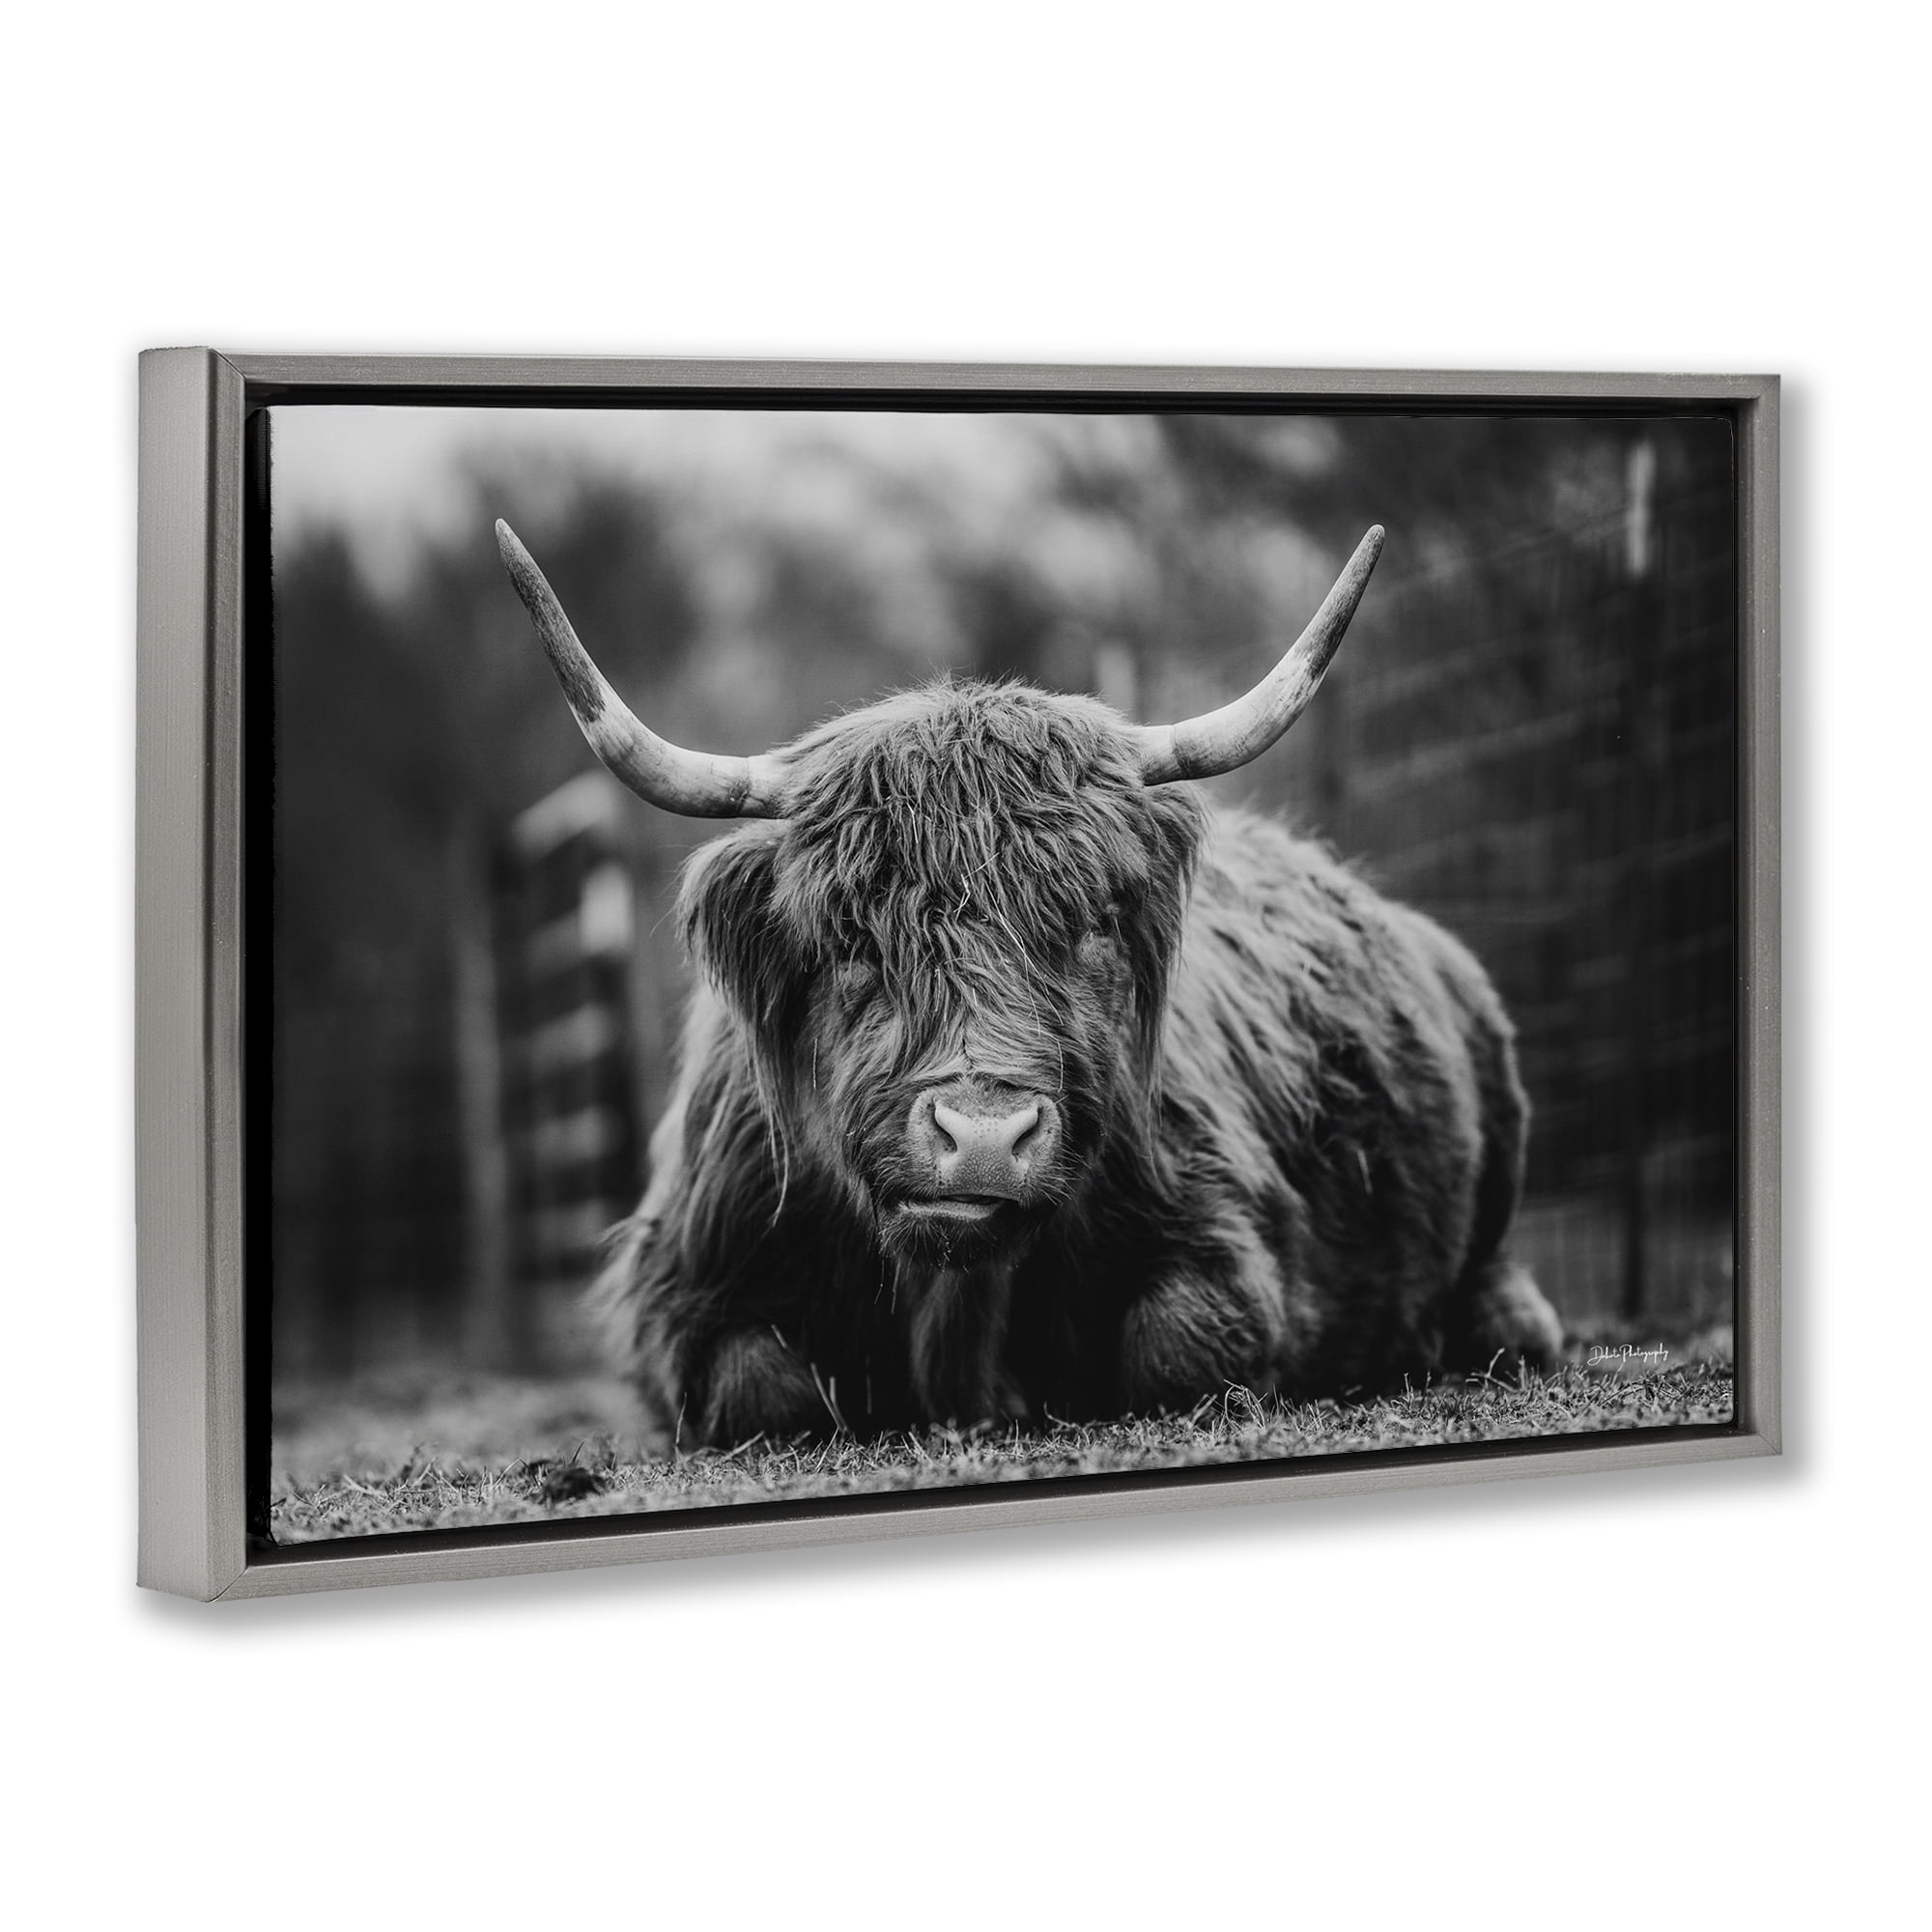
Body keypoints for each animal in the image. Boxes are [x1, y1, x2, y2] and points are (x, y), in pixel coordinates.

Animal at [496, 517, 1565, 1445]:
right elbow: (761, 1386)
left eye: (1090, 924)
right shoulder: (682, 1289)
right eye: (850, 938)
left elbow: (1180, 1345)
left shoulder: (1224, 1240)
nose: (981, 1138)